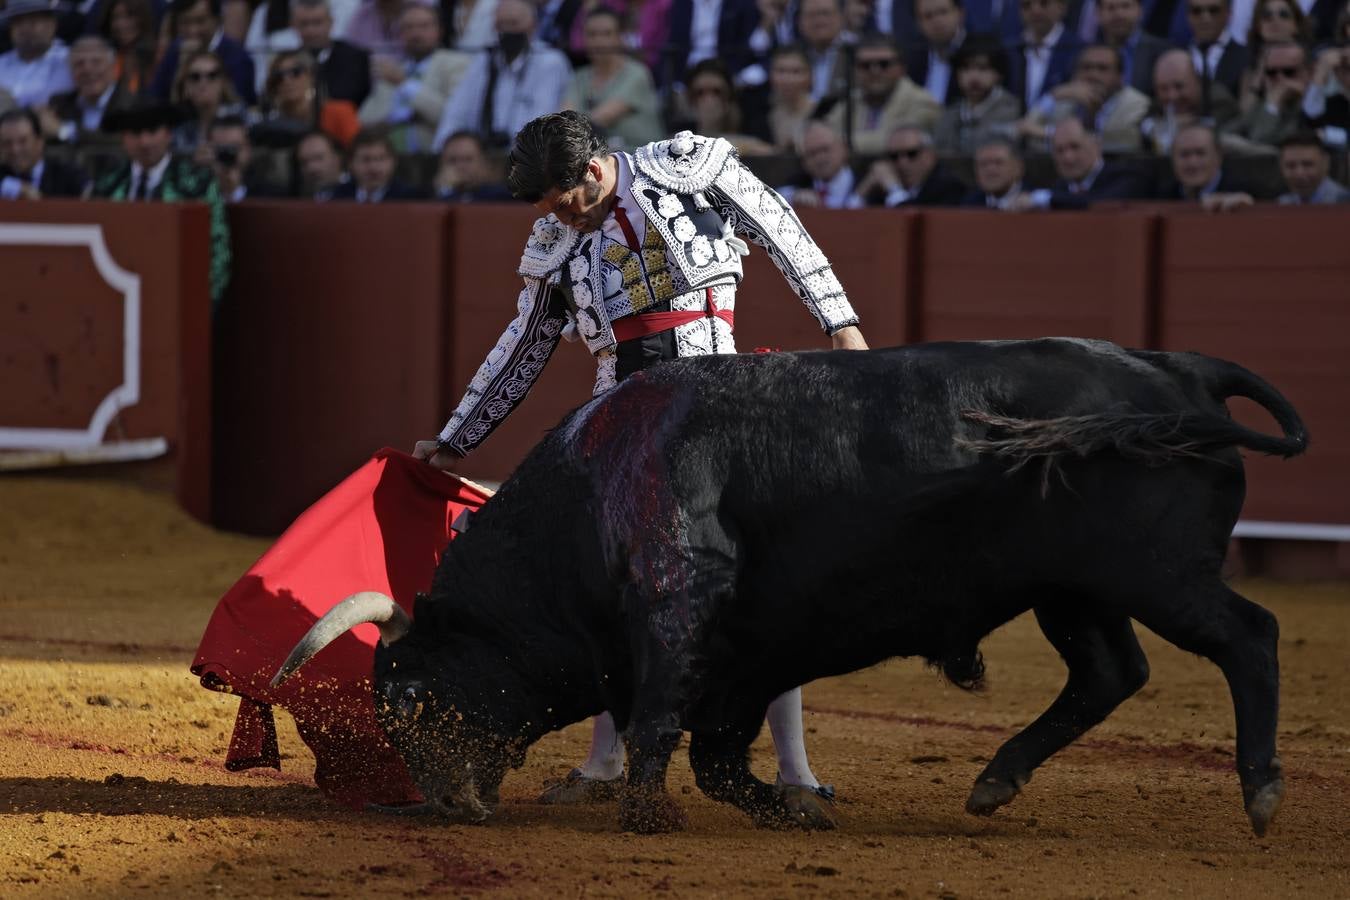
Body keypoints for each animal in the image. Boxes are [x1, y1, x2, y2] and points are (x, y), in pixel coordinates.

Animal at [271, 337, 1306, 836]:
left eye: (410, 698)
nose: (451, 803)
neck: (590, 489)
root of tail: (1180, 369)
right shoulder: (744, 657)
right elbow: (717, 759)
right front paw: (796, 806)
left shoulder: (678, 601)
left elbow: (661, 721)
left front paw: (647, 814)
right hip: (1074, 588)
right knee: (1110, 674)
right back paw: (993, 781)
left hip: (1157, 572)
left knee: (1247, 637)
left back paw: (1260, 794)